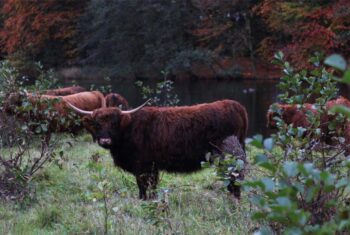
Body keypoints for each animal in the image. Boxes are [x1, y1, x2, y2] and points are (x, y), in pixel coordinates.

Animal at [67, 100, 249, 199]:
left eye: (114, 123)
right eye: (97, 124)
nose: (105, 140)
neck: (129, 129)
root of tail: (234, 104)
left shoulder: (143, 167)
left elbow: (143, 187)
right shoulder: (152, 167)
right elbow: (151, 187)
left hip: (229, 155)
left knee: (235, 177)